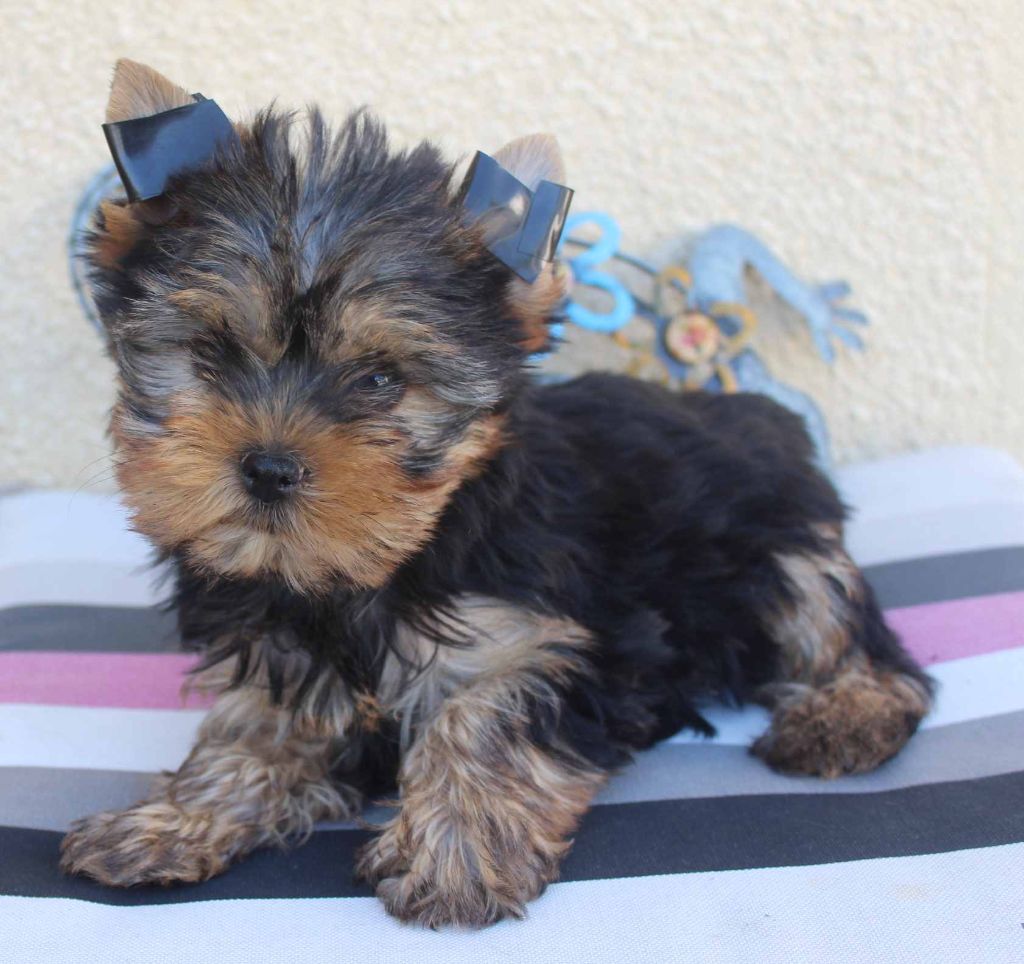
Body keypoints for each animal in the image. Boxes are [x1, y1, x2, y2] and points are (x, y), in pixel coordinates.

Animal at [60, 60, 933, 928]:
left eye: (379, 381)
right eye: (212, 352)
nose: (269, 467)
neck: (357, 575)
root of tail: (741, 404)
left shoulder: (581, 638)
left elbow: (489, 711)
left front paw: (455, 850)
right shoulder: (281, 651)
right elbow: (252, 731)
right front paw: (173, 819)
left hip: (785, 542)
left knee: (850, 636)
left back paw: (844, 716)